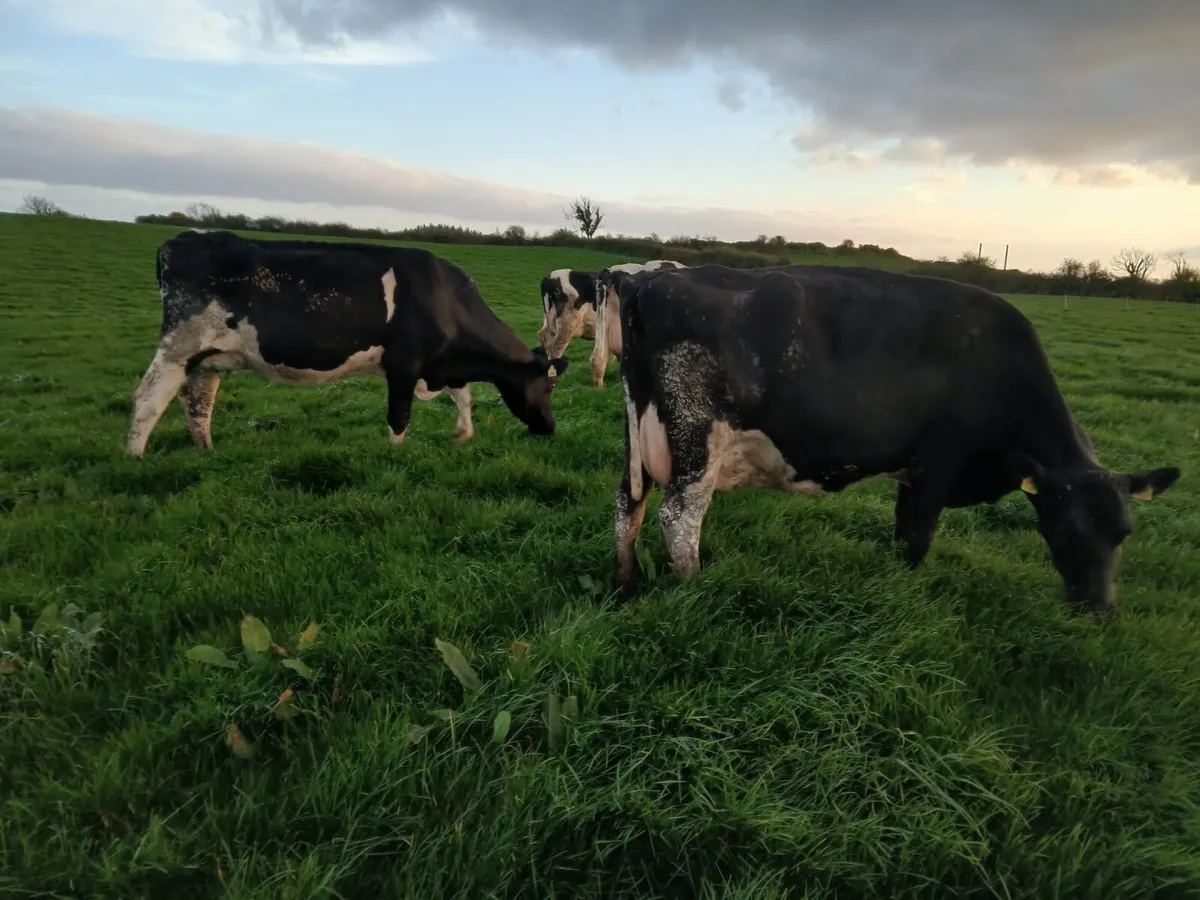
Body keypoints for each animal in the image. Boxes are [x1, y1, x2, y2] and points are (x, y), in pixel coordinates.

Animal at [126, 230, 570, 457]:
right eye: (547, 387)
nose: (549, 428)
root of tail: (183, 238)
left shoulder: (441, 365)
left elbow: (465, 397)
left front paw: (462, 435)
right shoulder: (404, 365)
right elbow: (400, 416)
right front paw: (394, 455)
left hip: (208, 357)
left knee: (198, 401)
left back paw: (207, 451)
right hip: (179, 346)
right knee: (149, 398)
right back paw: (135, 459)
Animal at [611, 263, 1180, 614]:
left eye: (1123, 533)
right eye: (1065, 527)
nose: (1101, 609)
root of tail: (652, 282)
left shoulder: (916, 469)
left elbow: (905, 528)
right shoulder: (937, 461)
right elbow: (916, 536)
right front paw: (906, 591)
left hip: (639, 441)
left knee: (628, 505)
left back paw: (624, 587)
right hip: (697, 438)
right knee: (679, 517)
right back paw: (693, 587)